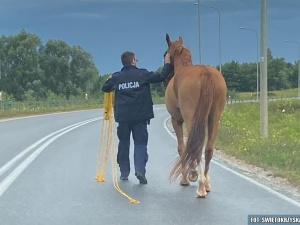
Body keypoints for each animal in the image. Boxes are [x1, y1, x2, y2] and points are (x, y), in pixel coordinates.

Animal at [164, 33, 227, 197]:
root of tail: (205, 73)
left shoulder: (176, 120)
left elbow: (182, 147)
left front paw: (187, 178)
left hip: (191, 118)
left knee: (196, 147)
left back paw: (200, 185)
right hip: (213, 118)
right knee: (208, 148)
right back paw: (206, 183)